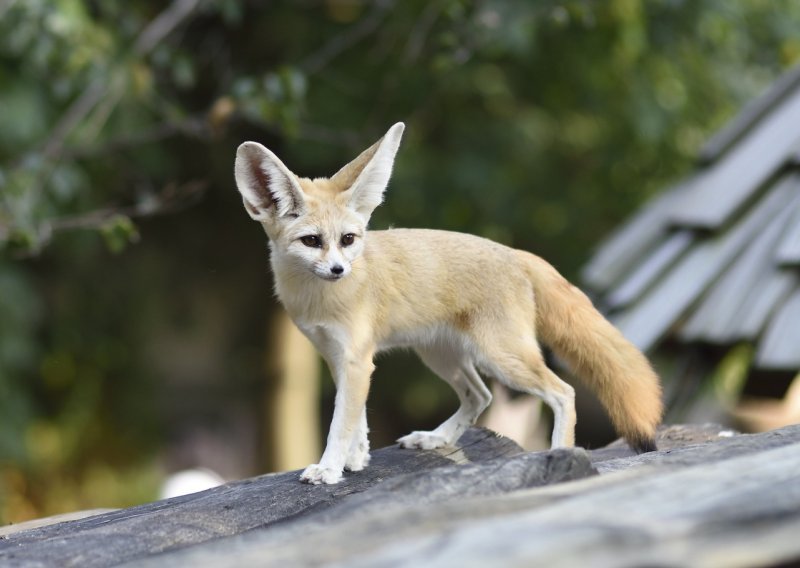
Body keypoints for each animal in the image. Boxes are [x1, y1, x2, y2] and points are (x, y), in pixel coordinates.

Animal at [233, 121, 664, 484]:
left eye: (348, 240)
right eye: (312, 241)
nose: (340, 270)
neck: (318, 299)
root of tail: (515, 252)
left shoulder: (356, 361)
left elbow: (341, 423)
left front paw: (329, 468)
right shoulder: (339, 358)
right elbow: (357, 421)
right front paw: (356, 459)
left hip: (501, 358)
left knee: (563, 392)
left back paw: (560, 454)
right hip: (443, 357)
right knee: (481, 396)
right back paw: (435, 438)